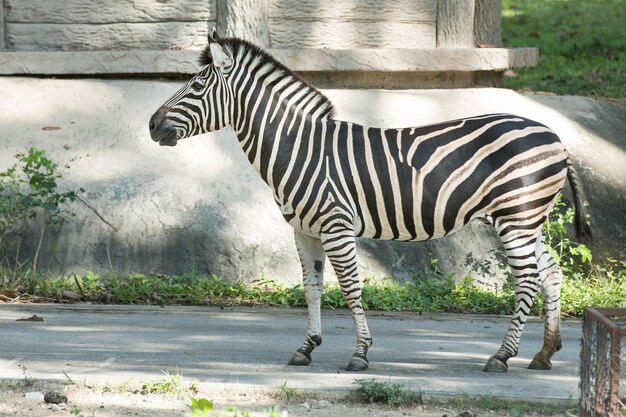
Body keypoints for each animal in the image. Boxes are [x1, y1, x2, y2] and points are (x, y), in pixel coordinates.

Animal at [149, 30, 588, 372]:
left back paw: (501, 356)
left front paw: (360, 353)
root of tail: (554, 135)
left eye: (197, 87)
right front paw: (306, 348)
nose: (152, 126)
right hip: (525, 220)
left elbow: (350, 288)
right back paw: (545, 353)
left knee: (527, 279)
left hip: (515, 216)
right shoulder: (304, 231)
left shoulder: (336, 225)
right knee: (550, 271)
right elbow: (311, 288)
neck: (298, 147)